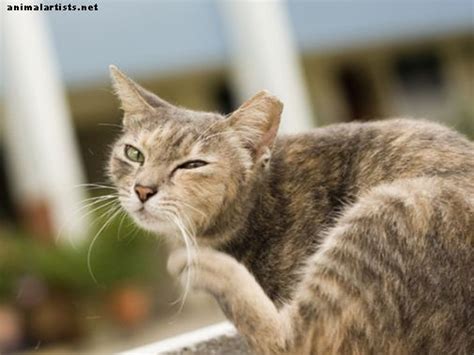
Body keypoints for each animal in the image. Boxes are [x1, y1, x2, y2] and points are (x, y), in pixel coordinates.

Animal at [107, 65, 474, 354]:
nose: (143, 189)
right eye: (134, 153)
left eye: (193, 165)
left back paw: (204, 266)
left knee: (297, 342)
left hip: (394, 206)